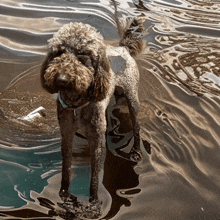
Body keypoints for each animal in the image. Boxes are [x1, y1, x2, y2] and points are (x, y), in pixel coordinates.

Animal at [40, 17, 145, 217]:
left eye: (83, 57)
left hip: (132, 98)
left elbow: (95, 178)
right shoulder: (67, 135)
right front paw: (64, 195)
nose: (62, 79)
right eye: (58, 53)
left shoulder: (96, 143)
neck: (76, 104)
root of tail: (123, 48)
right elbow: (66, 169)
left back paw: (136, 151)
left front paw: (94, 204)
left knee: (136, 127)